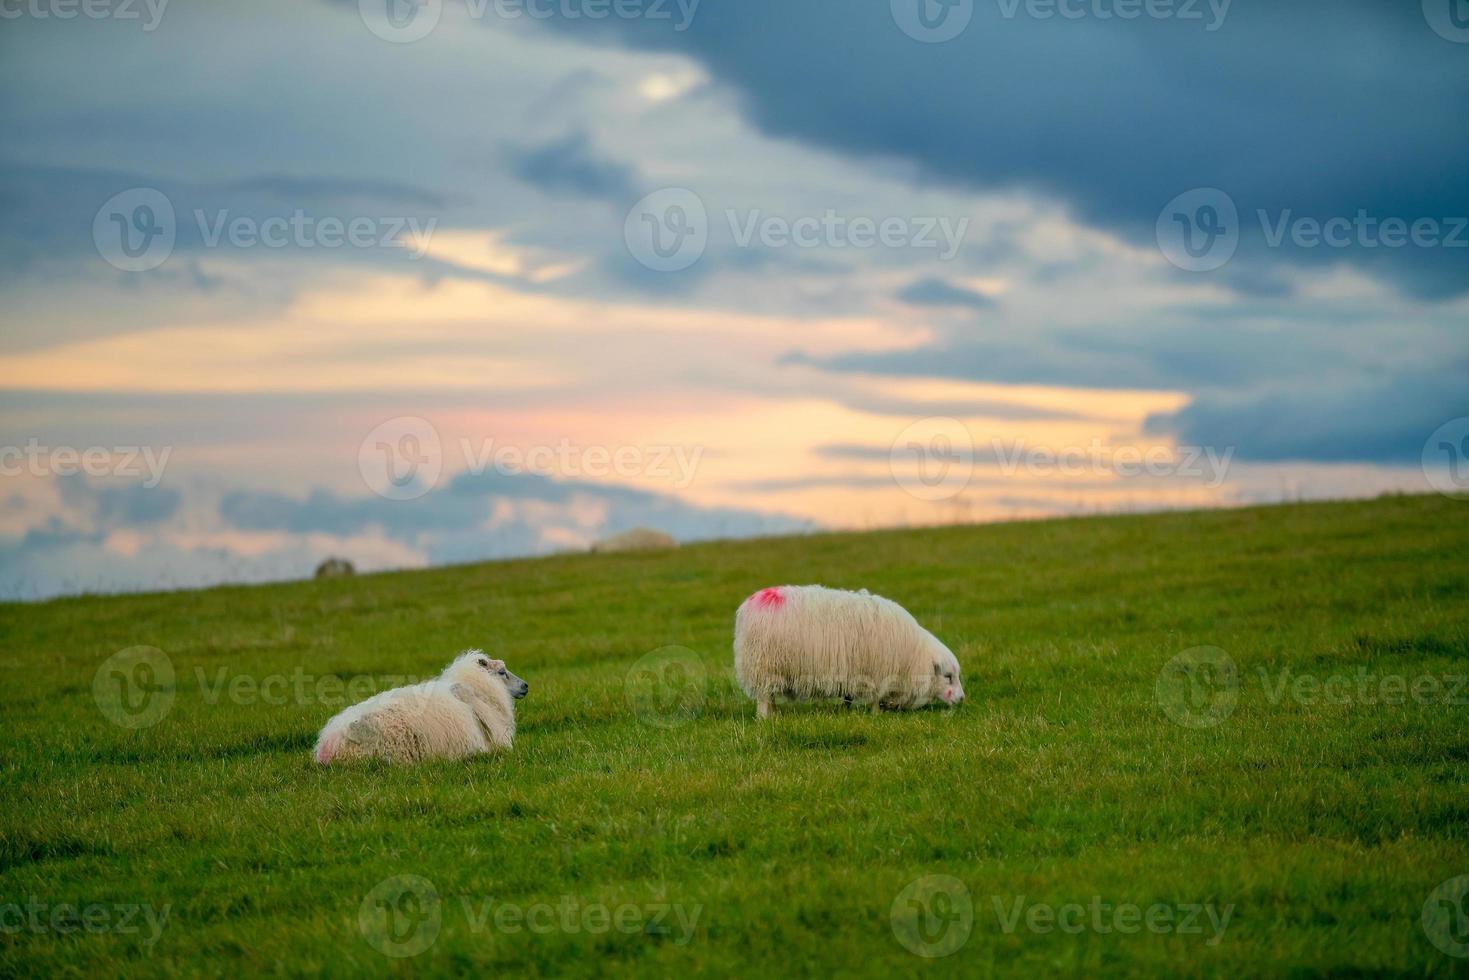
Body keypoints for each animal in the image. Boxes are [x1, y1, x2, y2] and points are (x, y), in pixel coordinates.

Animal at [734, 581, 963, 719]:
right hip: (763, 665)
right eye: (948, 676)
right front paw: (876, 715)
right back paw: (765, 718)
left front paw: (846, 710)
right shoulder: (879, 673)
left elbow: (849, 697)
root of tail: (752, 602)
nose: (962, 699)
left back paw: (774, 714)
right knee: (764, 697)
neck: (915, 655)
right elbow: (876, 698)